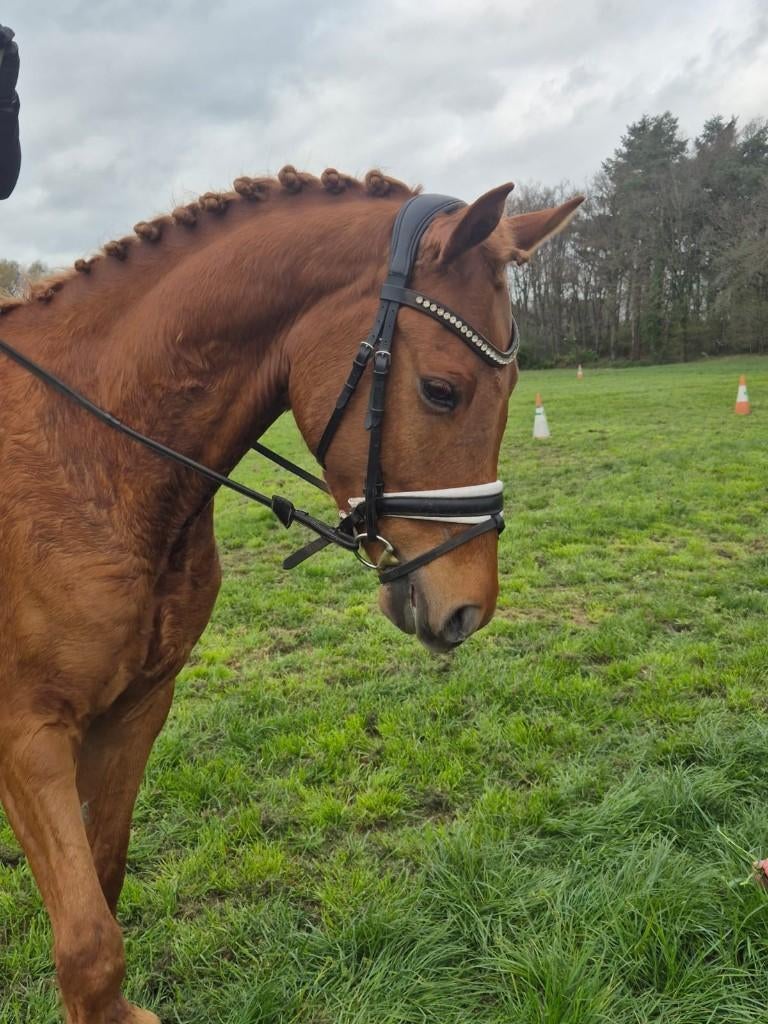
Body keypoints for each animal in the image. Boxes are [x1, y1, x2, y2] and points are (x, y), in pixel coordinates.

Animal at [0, 165, 582, 1023]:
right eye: (441, 390)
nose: (467, 608)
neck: (92, 462)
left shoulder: (135, 708)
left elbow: (101, 887)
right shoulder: (28, 733)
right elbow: (88, 946)